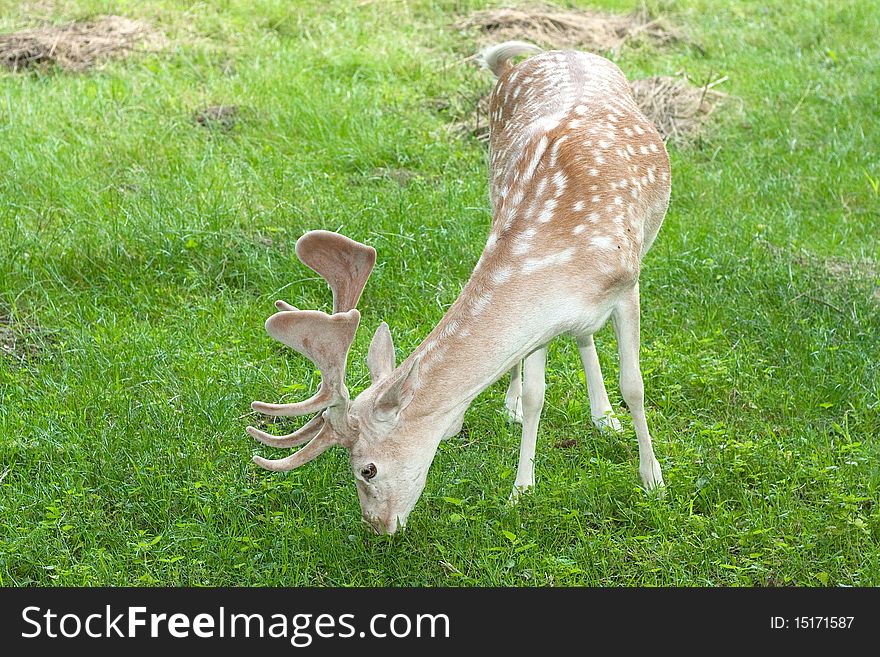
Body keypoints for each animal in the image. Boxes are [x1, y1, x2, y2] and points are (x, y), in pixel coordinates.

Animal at [244, 41, 672, 532]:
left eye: (366, 469)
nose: (377, 526)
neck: (564, 255)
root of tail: (537, 54)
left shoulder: (628, 283)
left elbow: (634, 386)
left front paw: (653, 480)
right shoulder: (543, 320)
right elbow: (536, 396)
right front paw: (521, 489)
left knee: (589, 342)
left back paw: (605, 418)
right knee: (572, 342)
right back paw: (521, 406)